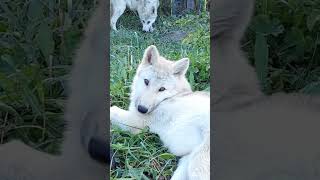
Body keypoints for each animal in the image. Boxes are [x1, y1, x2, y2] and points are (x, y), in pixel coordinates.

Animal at [110, 44, 210, 179]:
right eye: (146, 81)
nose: (142, 109)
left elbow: (112, 110)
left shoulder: (137, 122)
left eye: (162, 89)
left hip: (196, 164)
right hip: (186, 163)